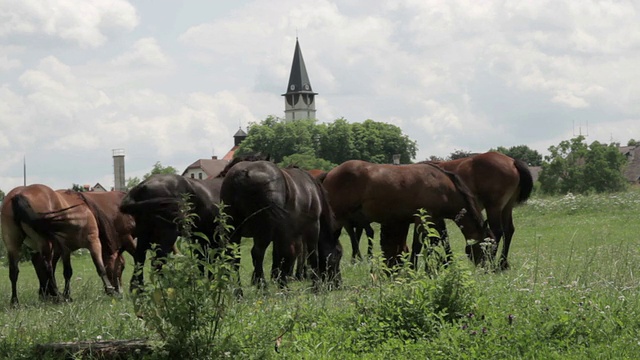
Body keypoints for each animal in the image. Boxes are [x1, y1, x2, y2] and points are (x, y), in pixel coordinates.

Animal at [0, 184, 134, 306]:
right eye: (121, 267)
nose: (120, 290)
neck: (86, 210)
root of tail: (19, 195)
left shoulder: (65, 249)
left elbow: (67, 272)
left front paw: (67, 295)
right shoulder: (93, 242)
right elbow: (100, 268)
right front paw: (110, 290)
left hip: (13, 243)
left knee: (15, 271)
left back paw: (16, 301)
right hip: (45, 243)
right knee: (47, 267)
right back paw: (55, 295)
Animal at [322, 160, 492, 268]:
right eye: (488, 247)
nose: (487, 268)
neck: (443, 187)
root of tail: (329, 174)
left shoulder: (435, 219)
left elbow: (443, 240)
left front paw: (446, 262)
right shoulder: (421, 220)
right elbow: (418, 246)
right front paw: (413, 267)